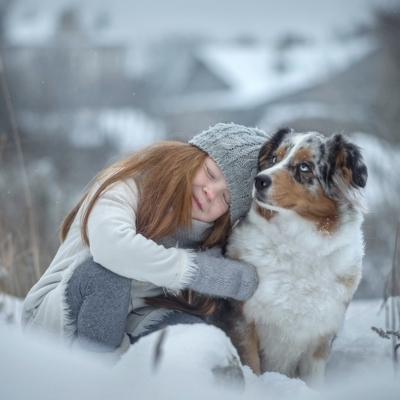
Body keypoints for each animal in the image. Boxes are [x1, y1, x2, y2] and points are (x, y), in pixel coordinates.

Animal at [214, 127, 368, 388]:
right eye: (274, 158)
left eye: (304, 167)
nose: (259, 180)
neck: (296, 244)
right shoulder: (242, 322)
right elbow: (251, 368)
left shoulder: (319, 338)